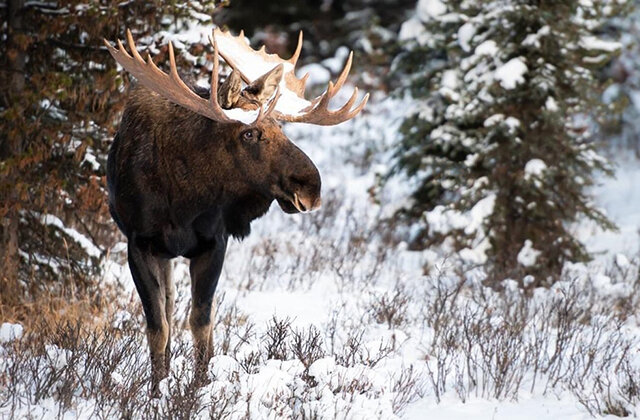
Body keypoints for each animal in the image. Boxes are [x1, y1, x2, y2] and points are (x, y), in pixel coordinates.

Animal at [102, 27, 368, 392]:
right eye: (249, 132)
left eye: (282, 128)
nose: (311, 187)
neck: (183, 203)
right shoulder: (139, 243)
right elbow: (158, 327)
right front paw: (157, 390)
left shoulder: (214, 242)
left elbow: (201, 322)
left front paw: (199, 386)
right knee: (168, 305)